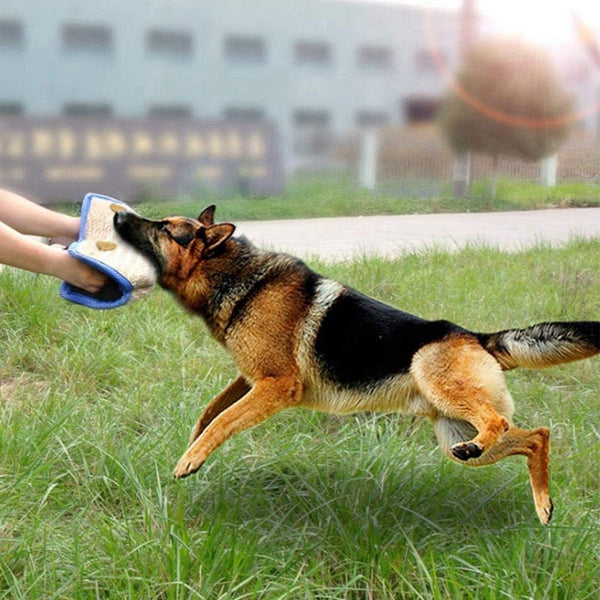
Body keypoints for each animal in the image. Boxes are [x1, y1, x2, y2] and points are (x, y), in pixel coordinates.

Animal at [115, 207, 596, 524]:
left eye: (164, 228)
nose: (118, 216)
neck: (236, 276)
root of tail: (477, 337)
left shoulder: (277, 385)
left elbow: (223, 420)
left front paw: (190, 460)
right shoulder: (251, 380)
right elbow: (213, 411)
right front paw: (192, 444)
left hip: (436, 379)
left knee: (503, 423)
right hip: (452, 433)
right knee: (536, 436)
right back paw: (543, 505)